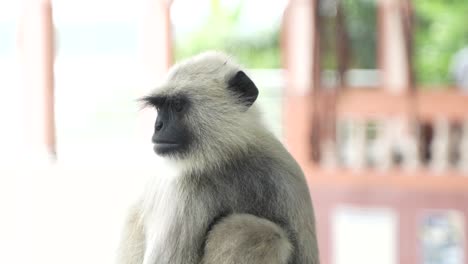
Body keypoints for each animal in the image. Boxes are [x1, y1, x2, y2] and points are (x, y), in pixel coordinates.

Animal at [119, 51, 320, 264]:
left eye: (177, 105)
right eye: (159, 109)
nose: (158, 126)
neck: (228, 159)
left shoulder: (285, 171)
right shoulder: (183, 191)